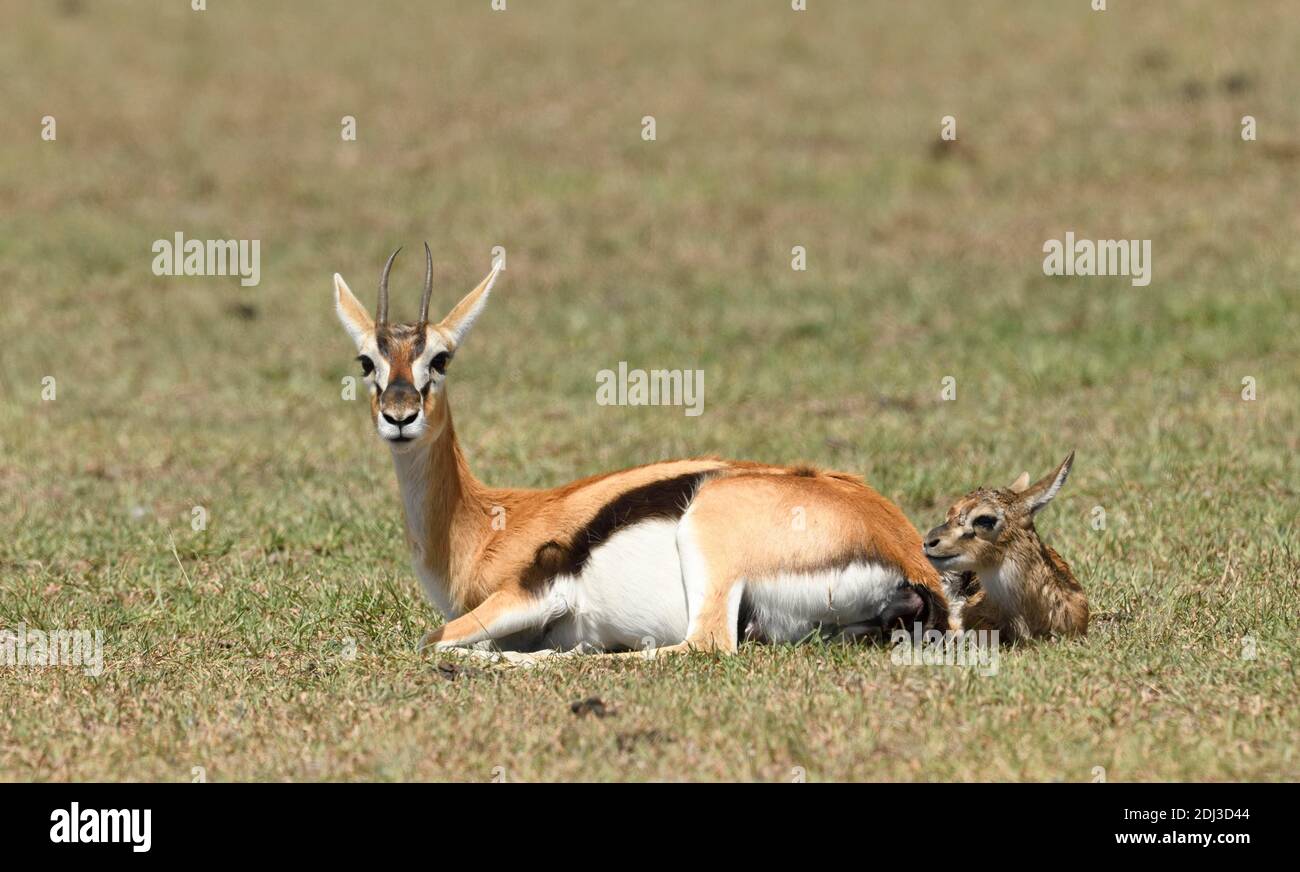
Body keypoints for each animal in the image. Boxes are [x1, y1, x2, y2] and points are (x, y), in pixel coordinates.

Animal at [333, 247, 950, 659]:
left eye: (440, 358)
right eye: (366, 361)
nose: (400, 416)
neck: (484, 524)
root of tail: (908, 555)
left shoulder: (528, 596)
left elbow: (430, 639)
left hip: (706, 542)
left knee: (696, 646)